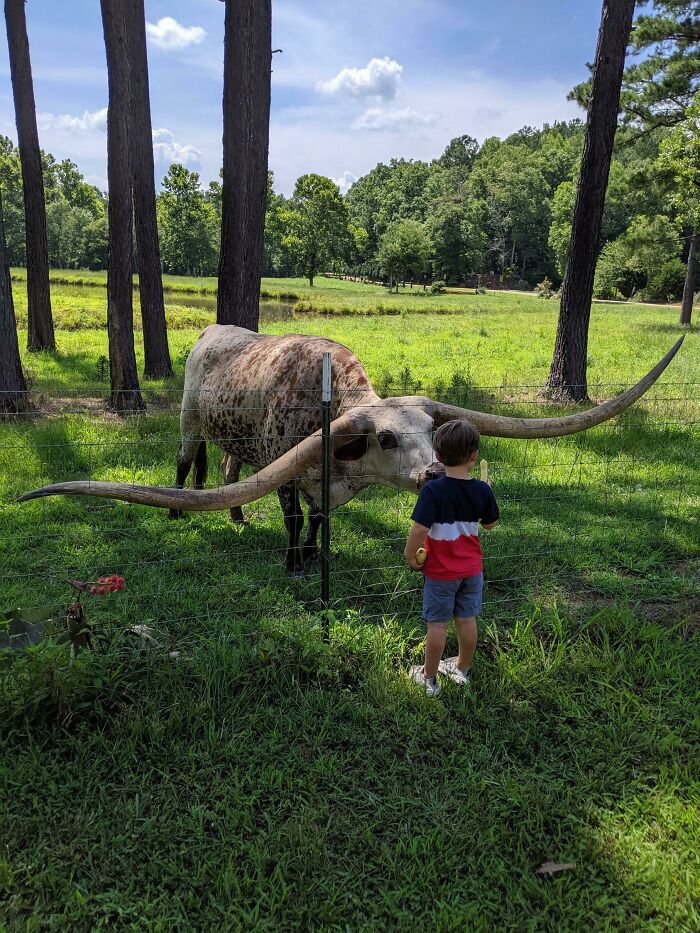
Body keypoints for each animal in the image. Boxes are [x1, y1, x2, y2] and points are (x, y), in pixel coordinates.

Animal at [20, 328, 684, 576]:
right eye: (386, 438)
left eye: (432, 430)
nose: (434, 473)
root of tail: (212, 332)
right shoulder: (291, 477)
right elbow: (294, 519)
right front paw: (294, 562)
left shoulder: (321, 486)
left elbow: (319, 521)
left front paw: (316, 554)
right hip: (188, 422)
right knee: (188, 463)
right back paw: (183, 509)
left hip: (235, 440)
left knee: (229, 467)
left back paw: (234, 515)